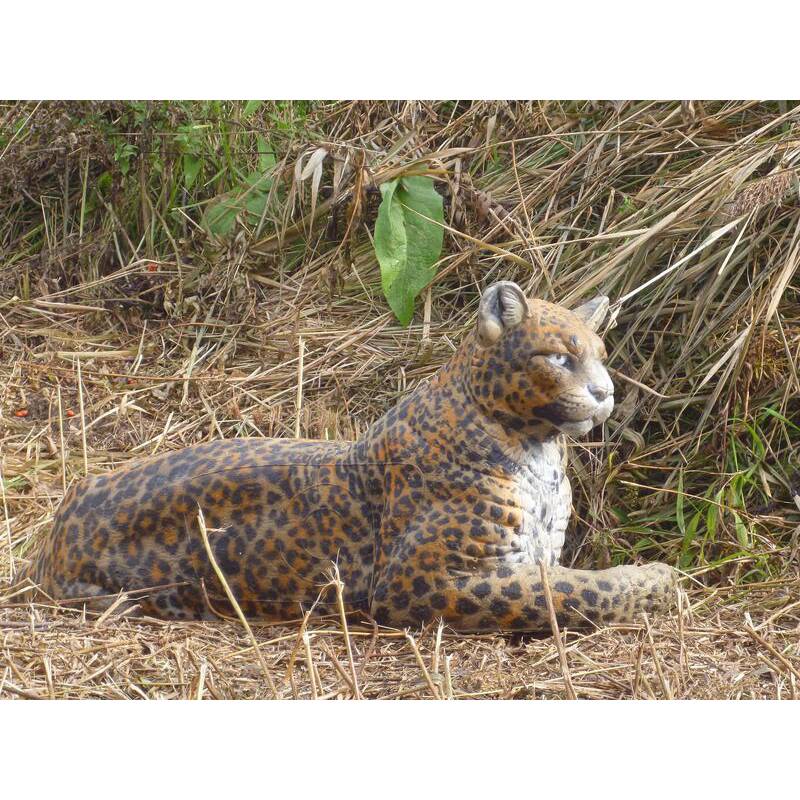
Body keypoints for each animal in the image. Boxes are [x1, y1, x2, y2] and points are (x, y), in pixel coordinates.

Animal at [16, 281, 677, 631]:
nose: (605, 393)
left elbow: (560, 581)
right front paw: (654, 579)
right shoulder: (418, 581)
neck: (539, 451)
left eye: (600, 355)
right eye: (557, 357)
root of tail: (49, 537)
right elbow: (564, 593)